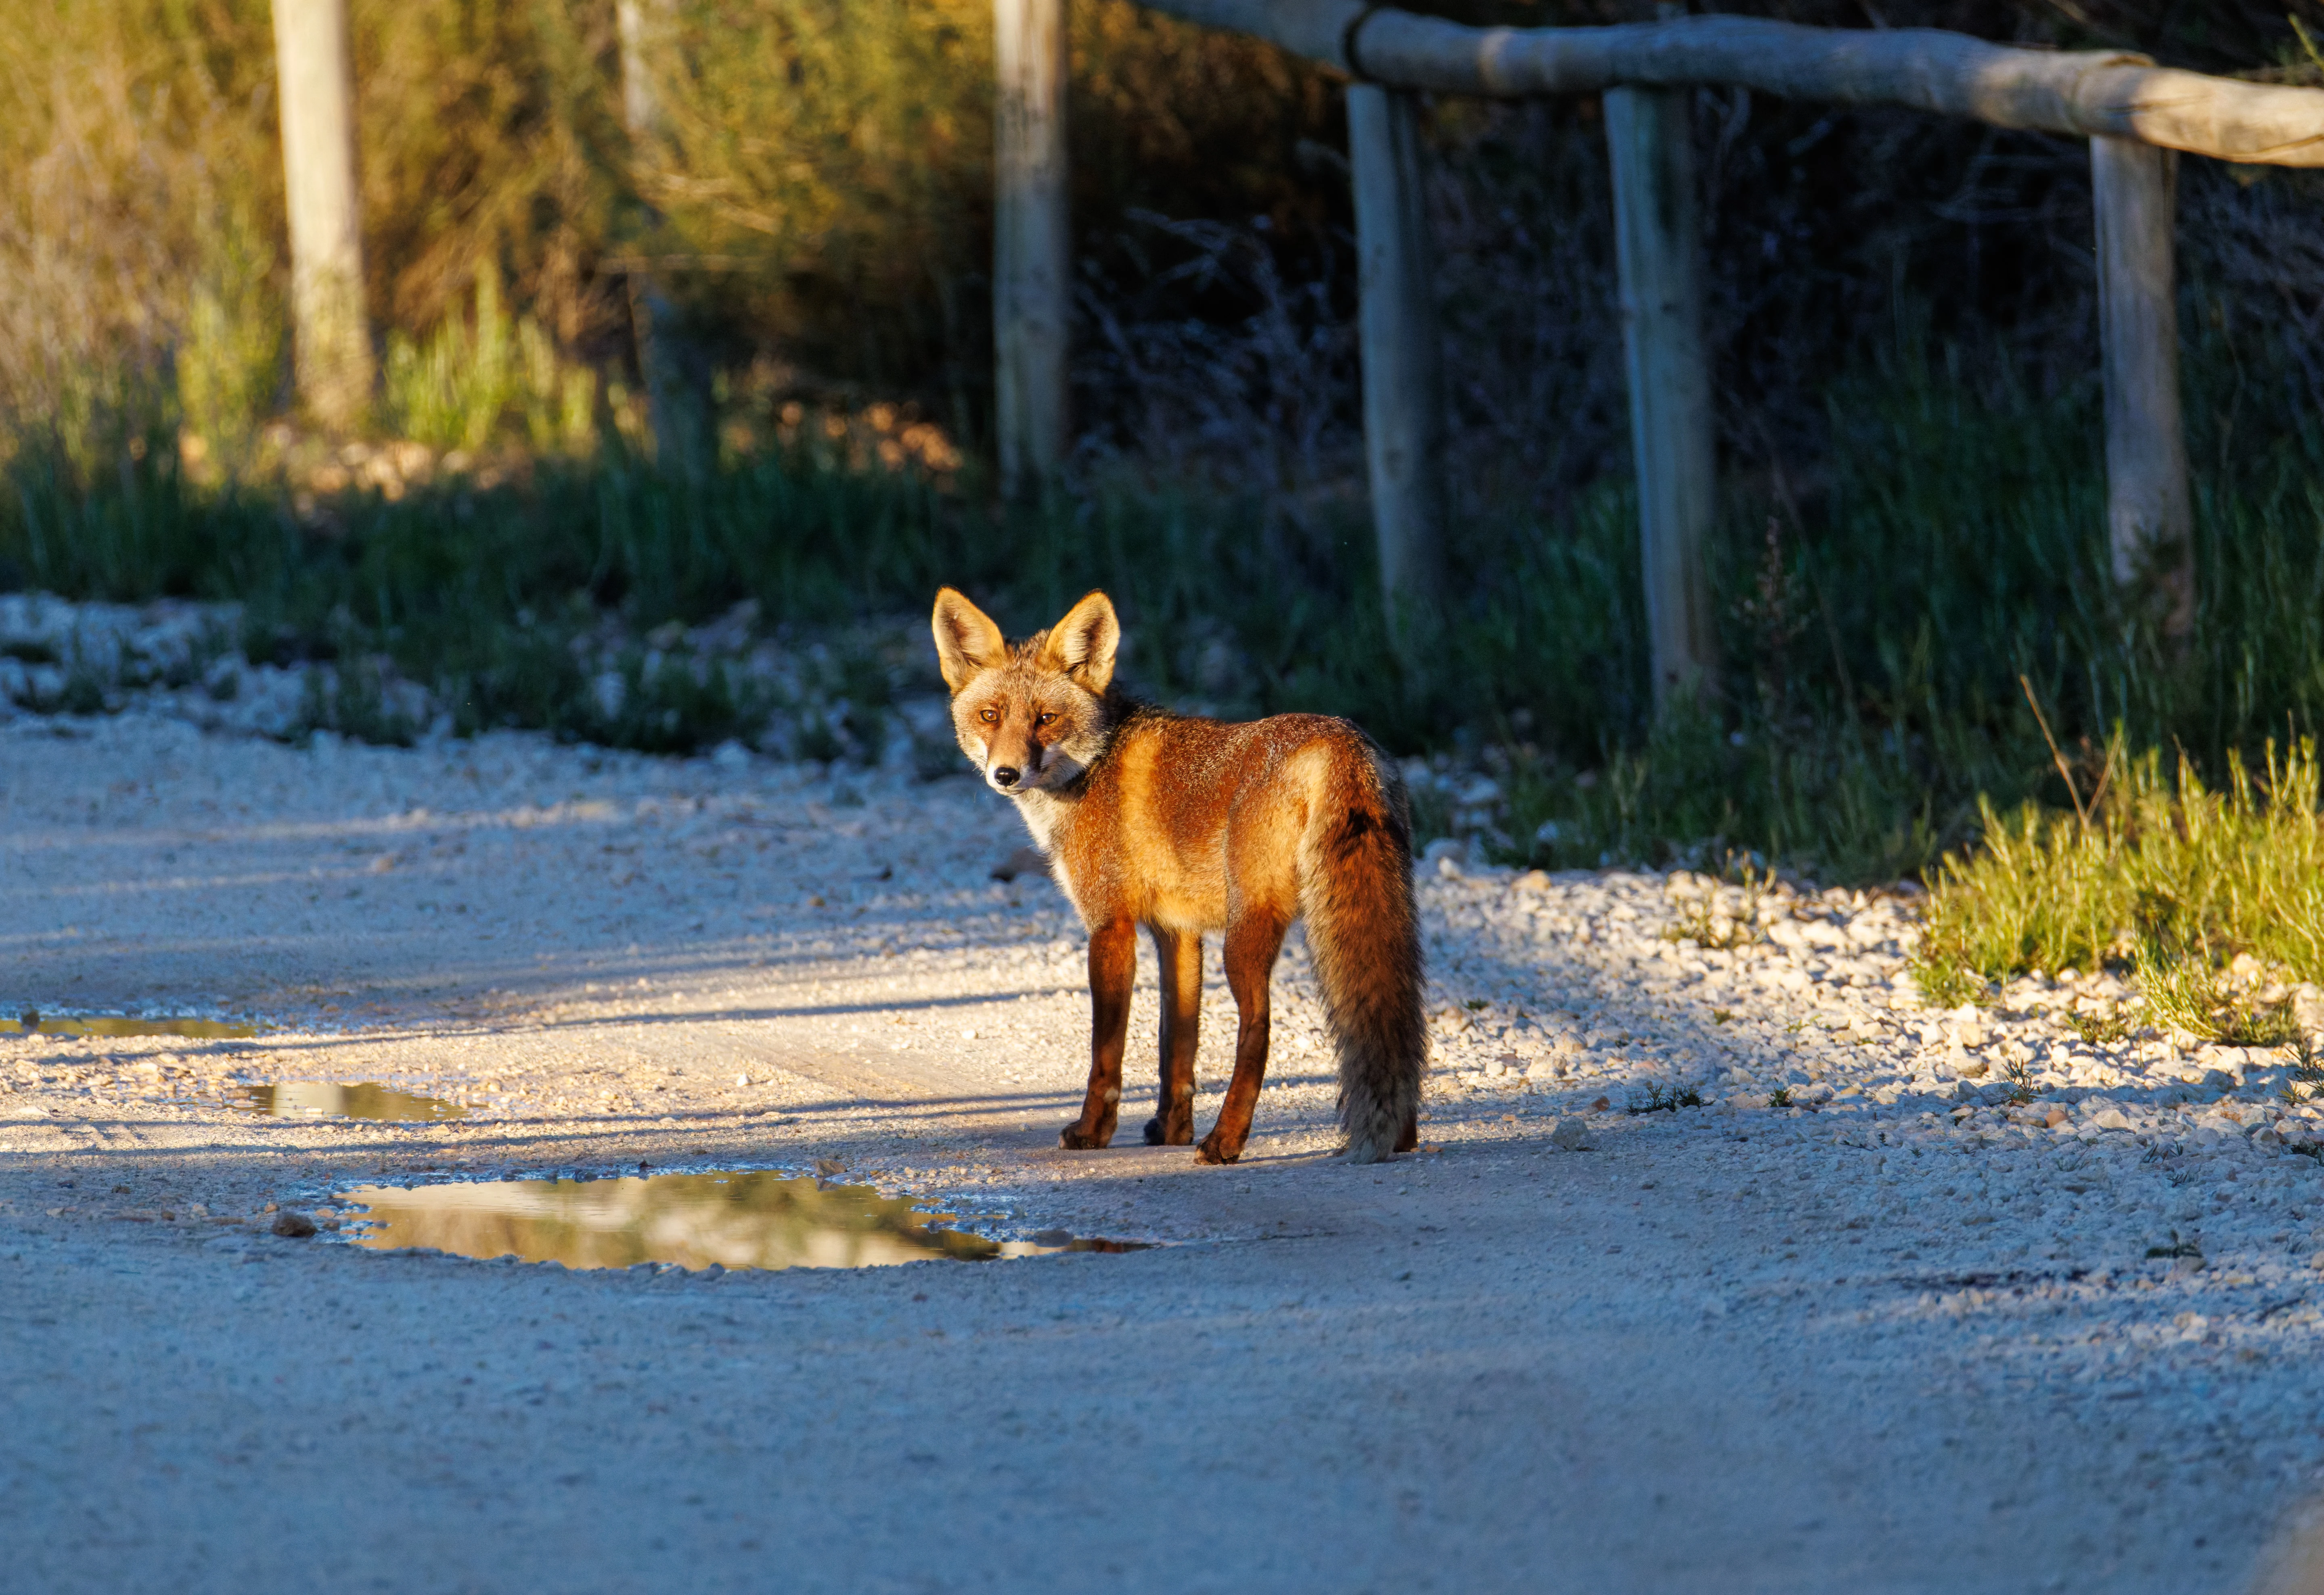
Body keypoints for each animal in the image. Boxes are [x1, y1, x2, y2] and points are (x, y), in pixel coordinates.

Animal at [931, 586, 1425, 1164]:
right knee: (1396, 1013)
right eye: (990, 715)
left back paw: (1224, 1141)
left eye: (1046, 718)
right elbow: (1177, 1043)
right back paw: (1403, 1136)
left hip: (1244, 936)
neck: (1094, 765)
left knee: (1258, 1029)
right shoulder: (1177, 933)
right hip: (1385, 918)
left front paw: (1093, 1132)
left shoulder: (1111, 925)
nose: (1005, 774)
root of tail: (1340, 741)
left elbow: (1106, 1053)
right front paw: (1171, 1128)